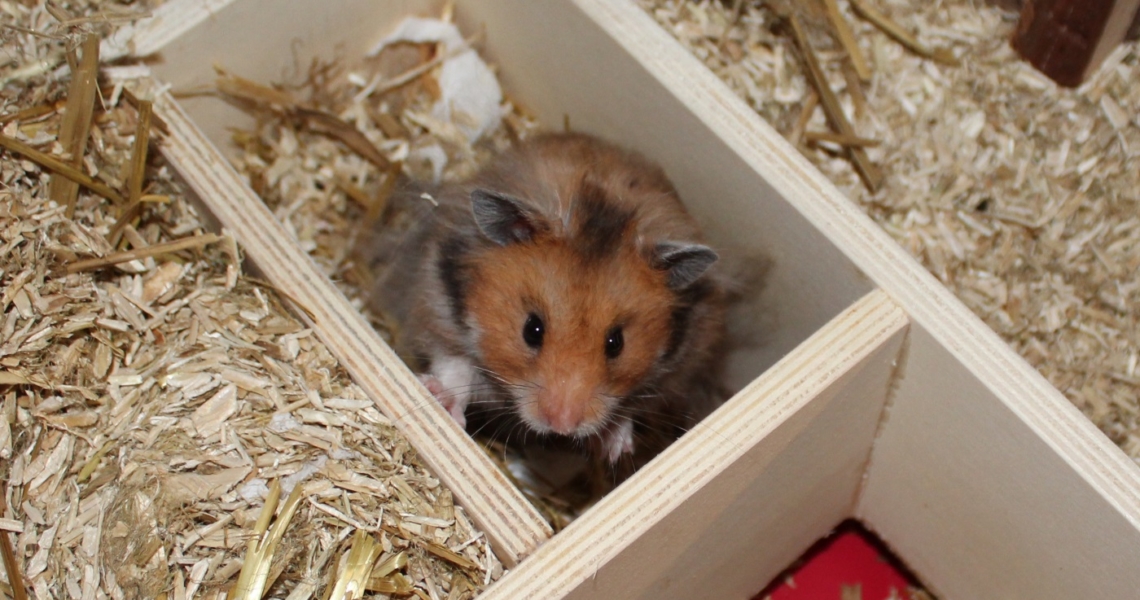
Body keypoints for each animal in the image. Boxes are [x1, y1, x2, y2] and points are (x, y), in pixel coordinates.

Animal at [360, 132, 729, 463]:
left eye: (616, 343)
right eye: (531, 330)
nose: (562, 427)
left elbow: (631, 407)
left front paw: (614, 448)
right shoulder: (439, 314)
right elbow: (455, 367)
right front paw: (444, 404)